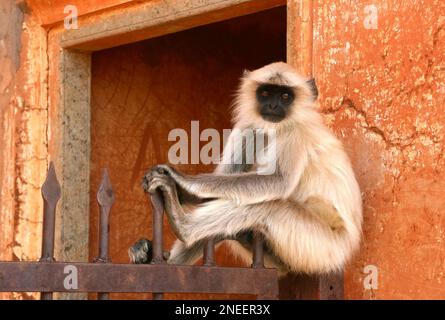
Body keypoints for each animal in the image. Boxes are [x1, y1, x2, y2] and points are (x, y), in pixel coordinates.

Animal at [127, 62, 360, 276]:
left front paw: (181, 180)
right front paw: (181, 191)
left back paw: (182, 224)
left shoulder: (296, 133)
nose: (273, 106)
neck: (275, 128)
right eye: (265, 93)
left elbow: (279, 181)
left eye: (285, 96)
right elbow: (225, 178)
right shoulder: (248, 128)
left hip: (320, 249)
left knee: (268, 206)